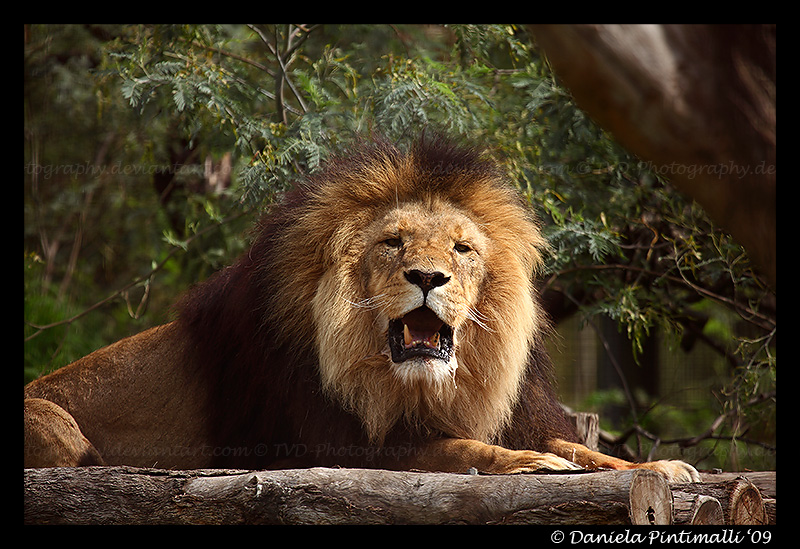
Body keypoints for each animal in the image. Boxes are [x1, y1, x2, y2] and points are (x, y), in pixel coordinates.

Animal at [23, 135, 700, 482]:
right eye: (392, 242)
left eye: (463, 249)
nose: (428, 277)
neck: (416, 387)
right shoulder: (321, 446)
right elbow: (449, 449)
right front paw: (527, 463)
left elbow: (589, 451)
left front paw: (663, 466)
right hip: (52, 422)